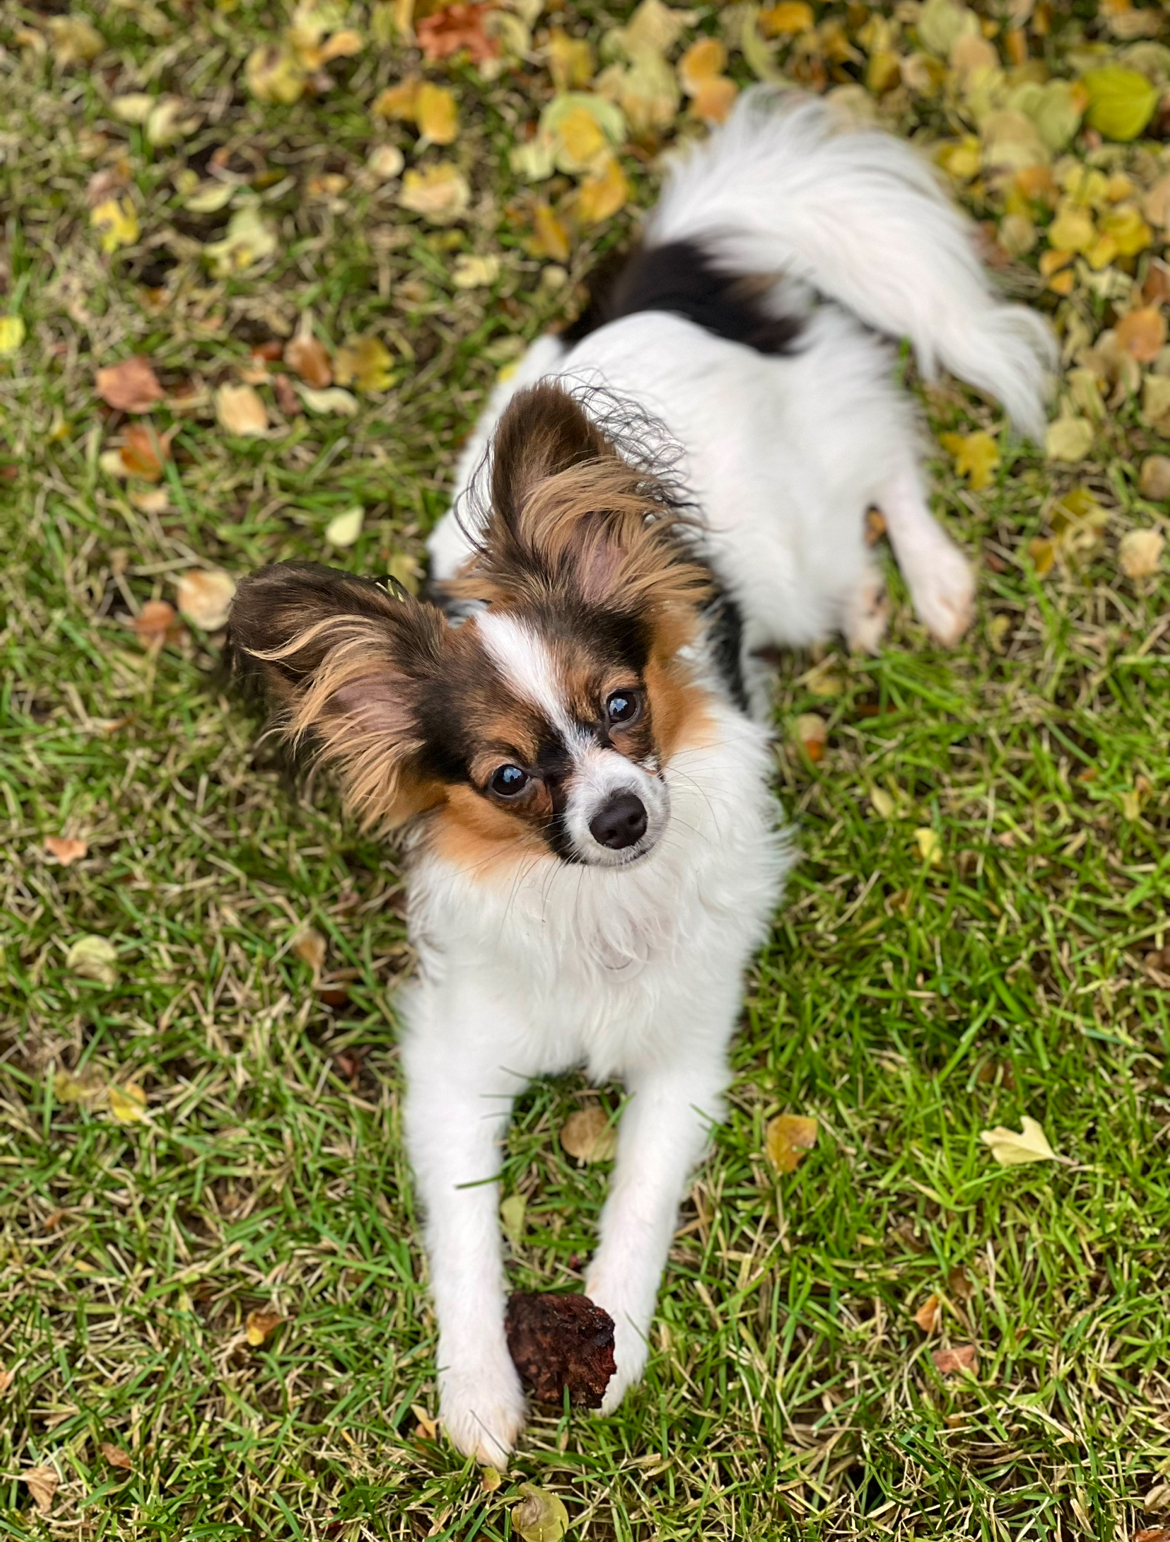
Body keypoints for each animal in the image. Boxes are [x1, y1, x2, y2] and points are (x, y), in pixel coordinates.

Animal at [232, 90, 1054, 1461]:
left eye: (621, 707)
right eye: (507, 778)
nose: (619, 816)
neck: (595, 908)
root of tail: (659, 285)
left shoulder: (683, 1064)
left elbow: (632, 1206)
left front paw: (608, 1348)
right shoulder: (454, 1067)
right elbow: (467, 1238)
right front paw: (479, 1394)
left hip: (800, 539)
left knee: (885, 465)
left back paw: (931, 583)